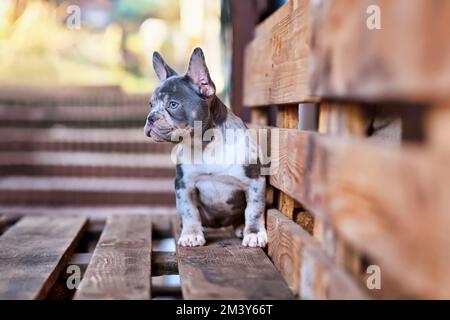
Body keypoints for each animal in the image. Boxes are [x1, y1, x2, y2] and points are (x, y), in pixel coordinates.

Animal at [144, 47, 266, 248]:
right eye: (151, 105)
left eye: (173, 104)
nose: (150, 117)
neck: (205, 145)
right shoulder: (184, 185)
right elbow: (189, 211)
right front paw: (191, 234)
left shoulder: (254, 182)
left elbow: (254, 210)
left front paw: (254, 233)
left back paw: (241, 227)